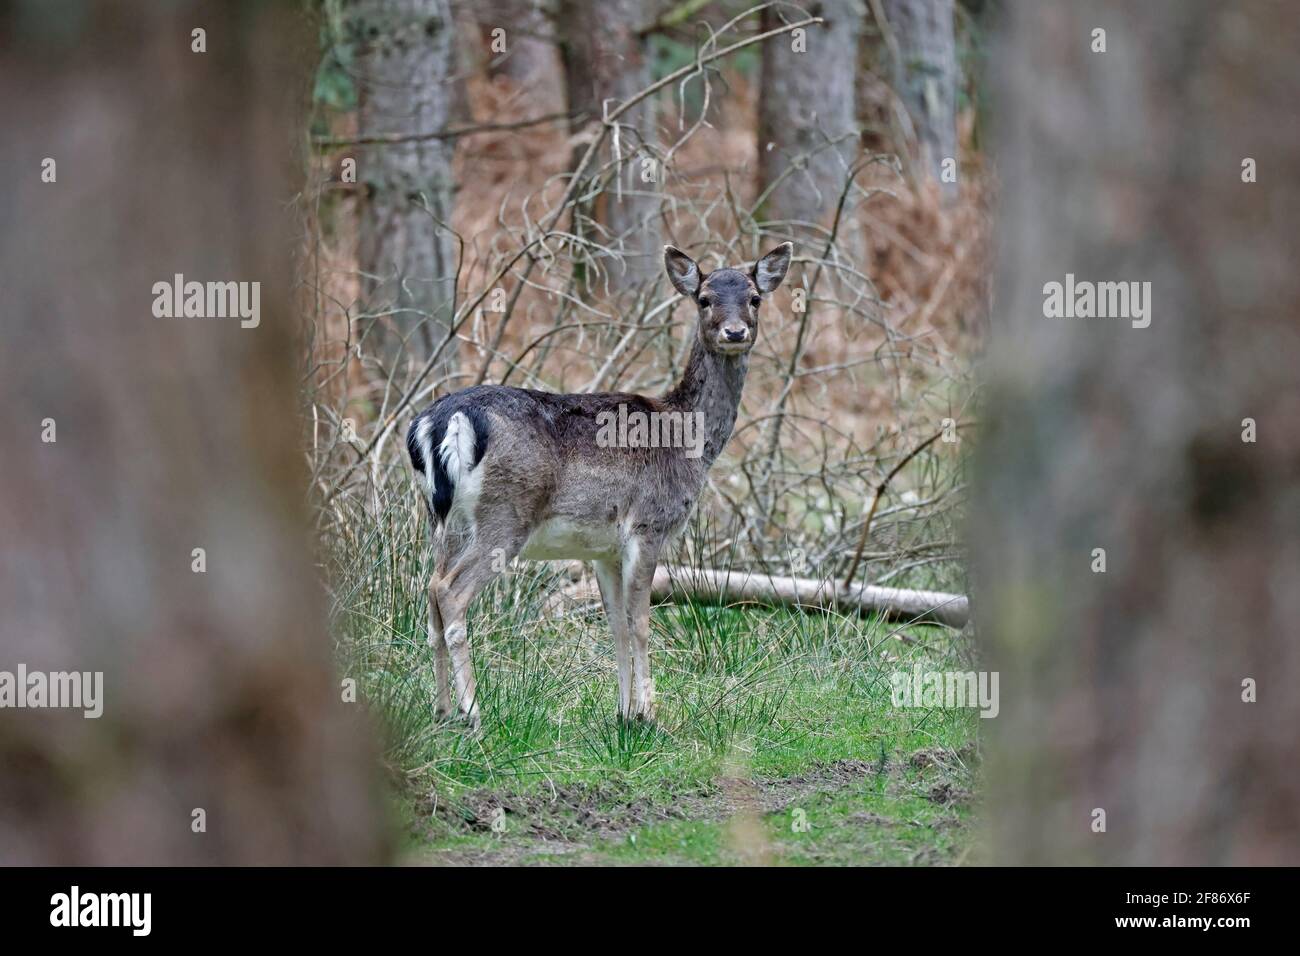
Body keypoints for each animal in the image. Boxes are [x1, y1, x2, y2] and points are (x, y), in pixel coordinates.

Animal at [406, 241, 793, 730]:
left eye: (755, 298)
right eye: (704, 299)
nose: (735, 331)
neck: (687, 438)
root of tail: (441, 422)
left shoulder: (603, 548)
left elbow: (617, 624)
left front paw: (625, 713)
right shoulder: (648, 523)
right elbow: (642, 621)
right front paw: (650, 714)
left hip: (442, 521)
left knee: (430, 591)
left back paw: (441, 710)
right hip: (505, 515)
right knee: (449, 593)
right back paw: (473, 712)